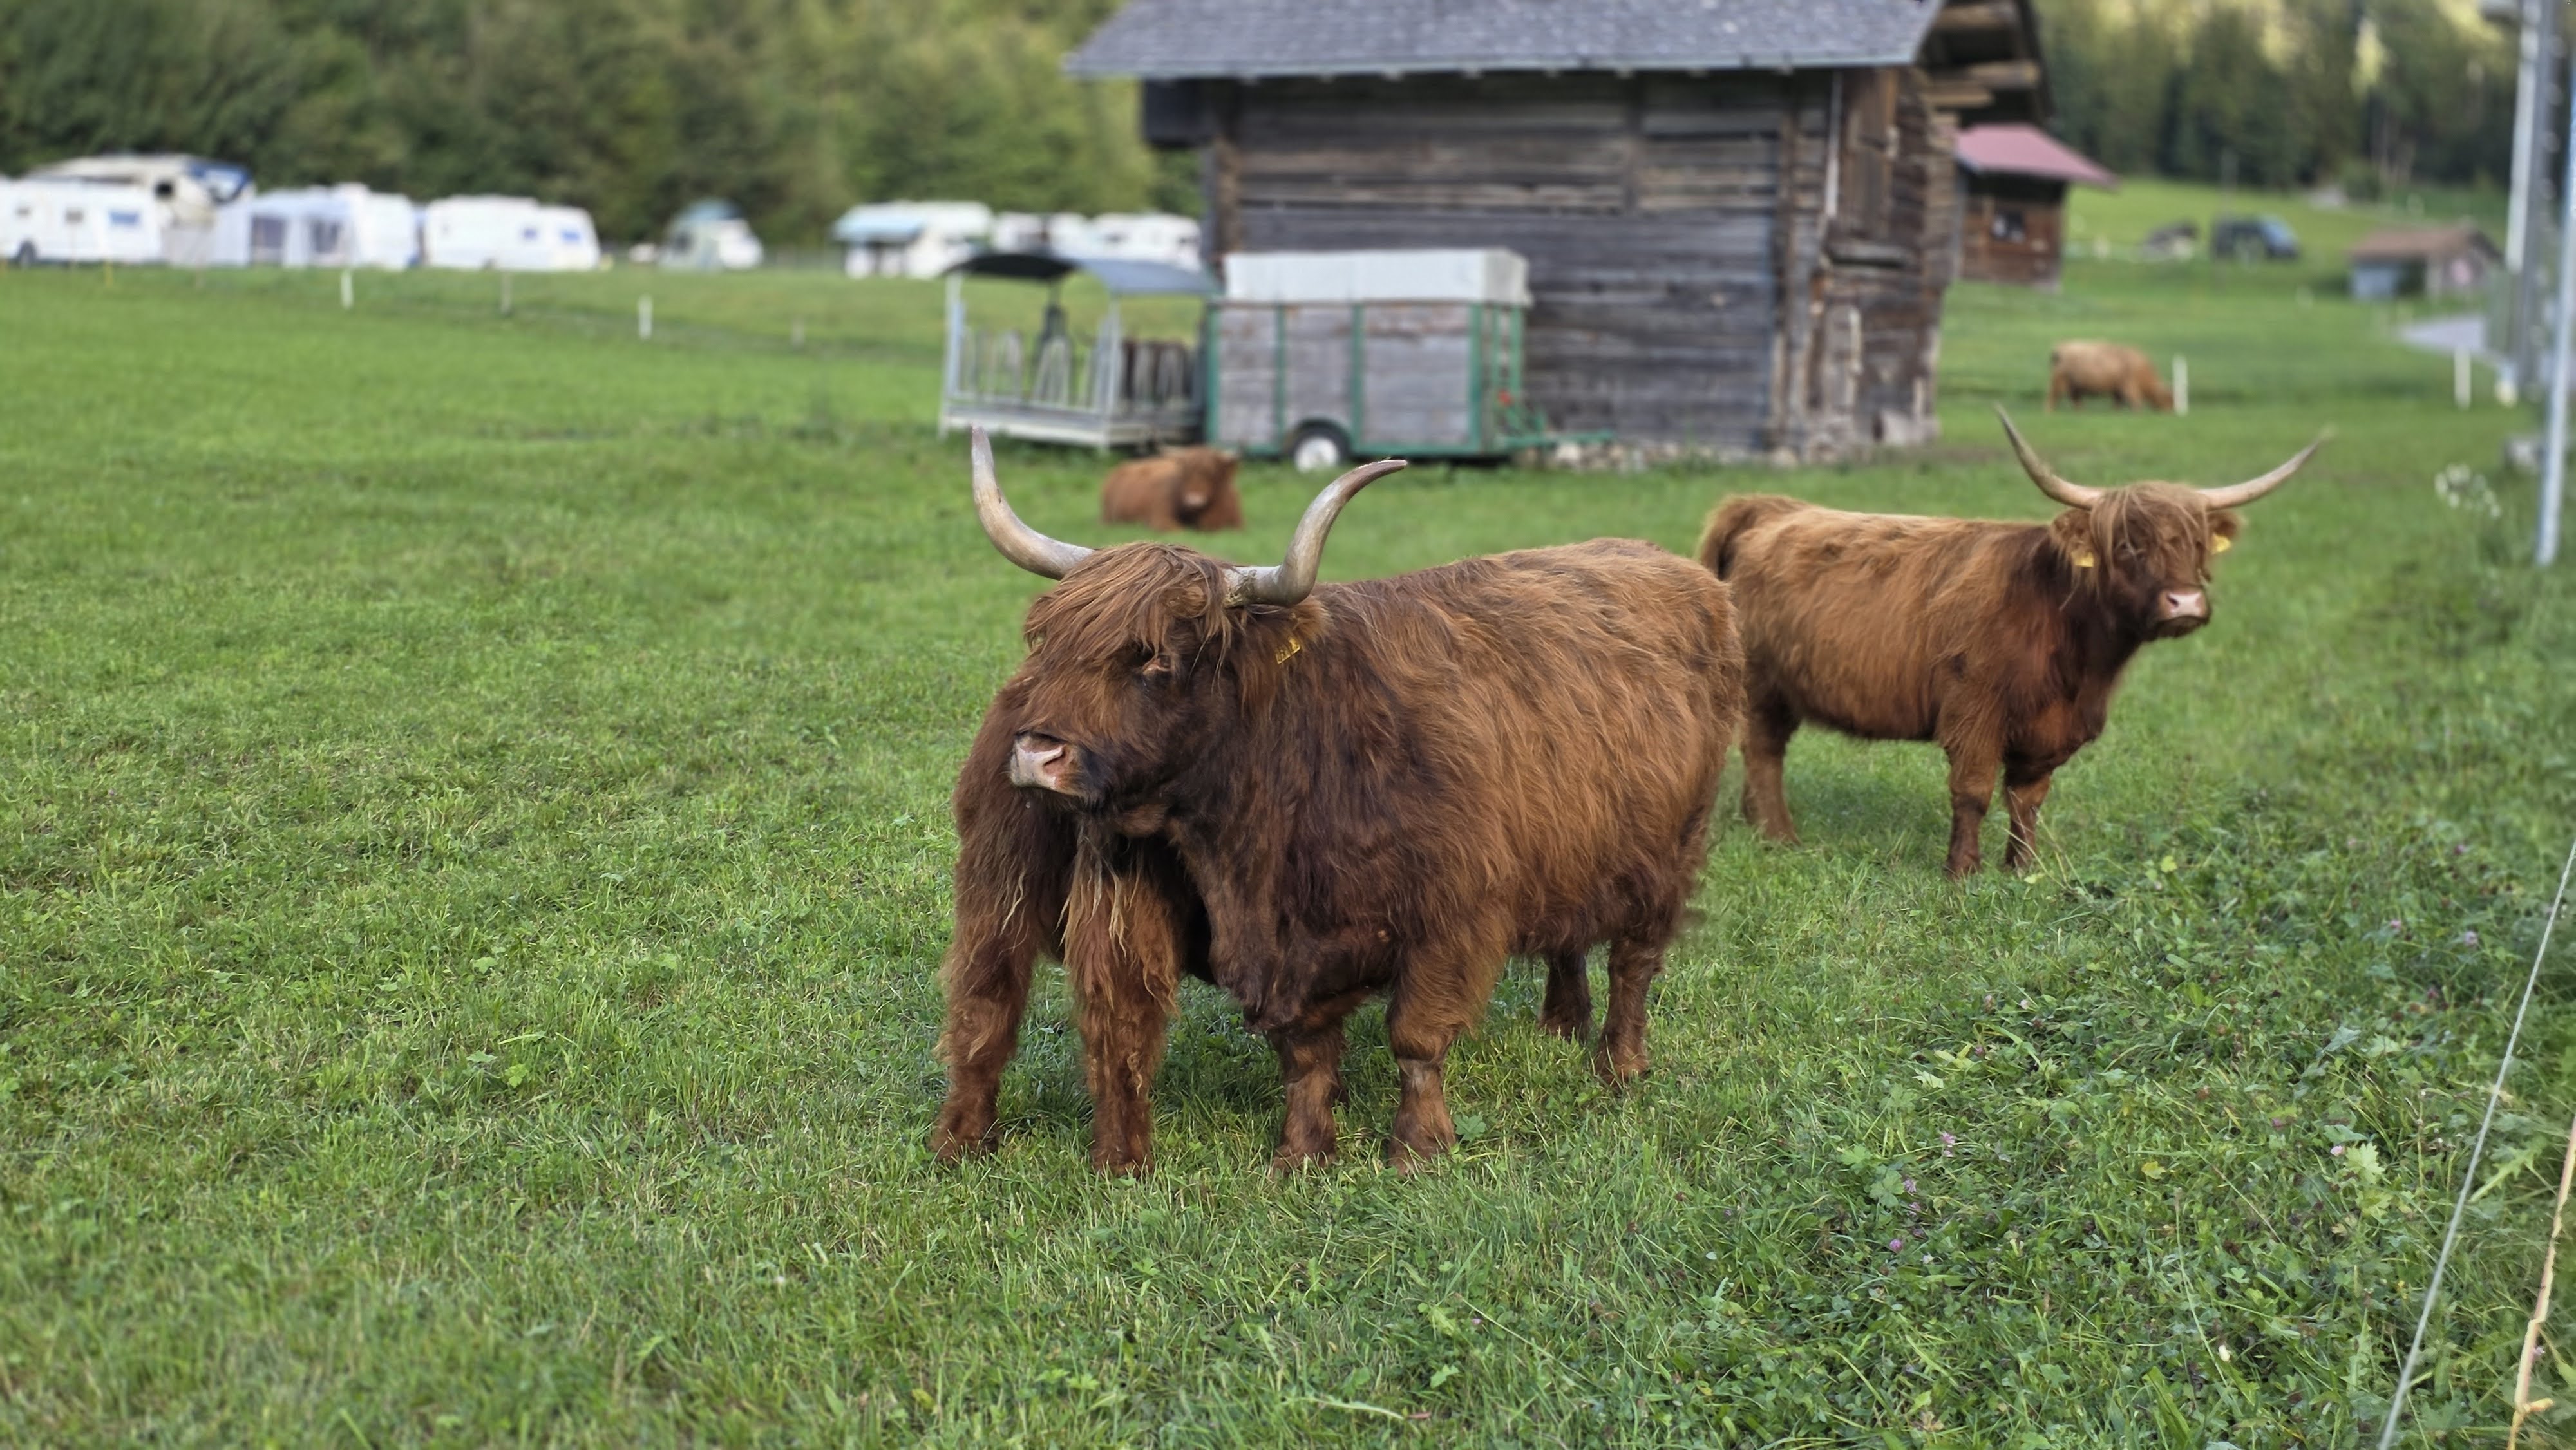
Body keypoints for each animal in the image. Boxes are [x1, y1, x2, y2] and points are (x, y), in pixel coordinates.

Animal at [1100, 447, 1244, 532]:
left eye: (1212, 473)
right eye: (1184, 473)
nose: (1194, 501)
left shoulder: (1238, 525)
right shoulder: (1161, 520)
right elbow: (1179, 531)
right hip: (1108, 518)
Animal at [1696, 408, 2322, 878]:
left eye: (2194, 544)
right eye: (2126, 546)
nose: (2184, 603)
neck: (2074, 653)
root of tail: (1771, 507)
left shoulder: (2050, 730)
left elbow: (2028, 800)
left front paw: (2022, 869)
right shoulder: (1974, 712)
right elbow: (1973, 791)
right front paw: (1961, 872)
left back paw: (1755, 824)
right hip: (1763, 686)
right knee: (1765, 752)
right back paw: (1781, 837)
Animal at [2048, 341, 2173, 412]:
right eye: (2166, 398)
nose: (2169, 412)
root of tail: (2061, 349)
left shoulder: (2117, 390)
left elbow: (2117, 403)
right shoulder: (2130, 387)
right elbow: (2136, 402)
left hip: (2075, 387)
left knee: (2076, 401)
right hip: (2059, 383)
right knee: (2053, 398)